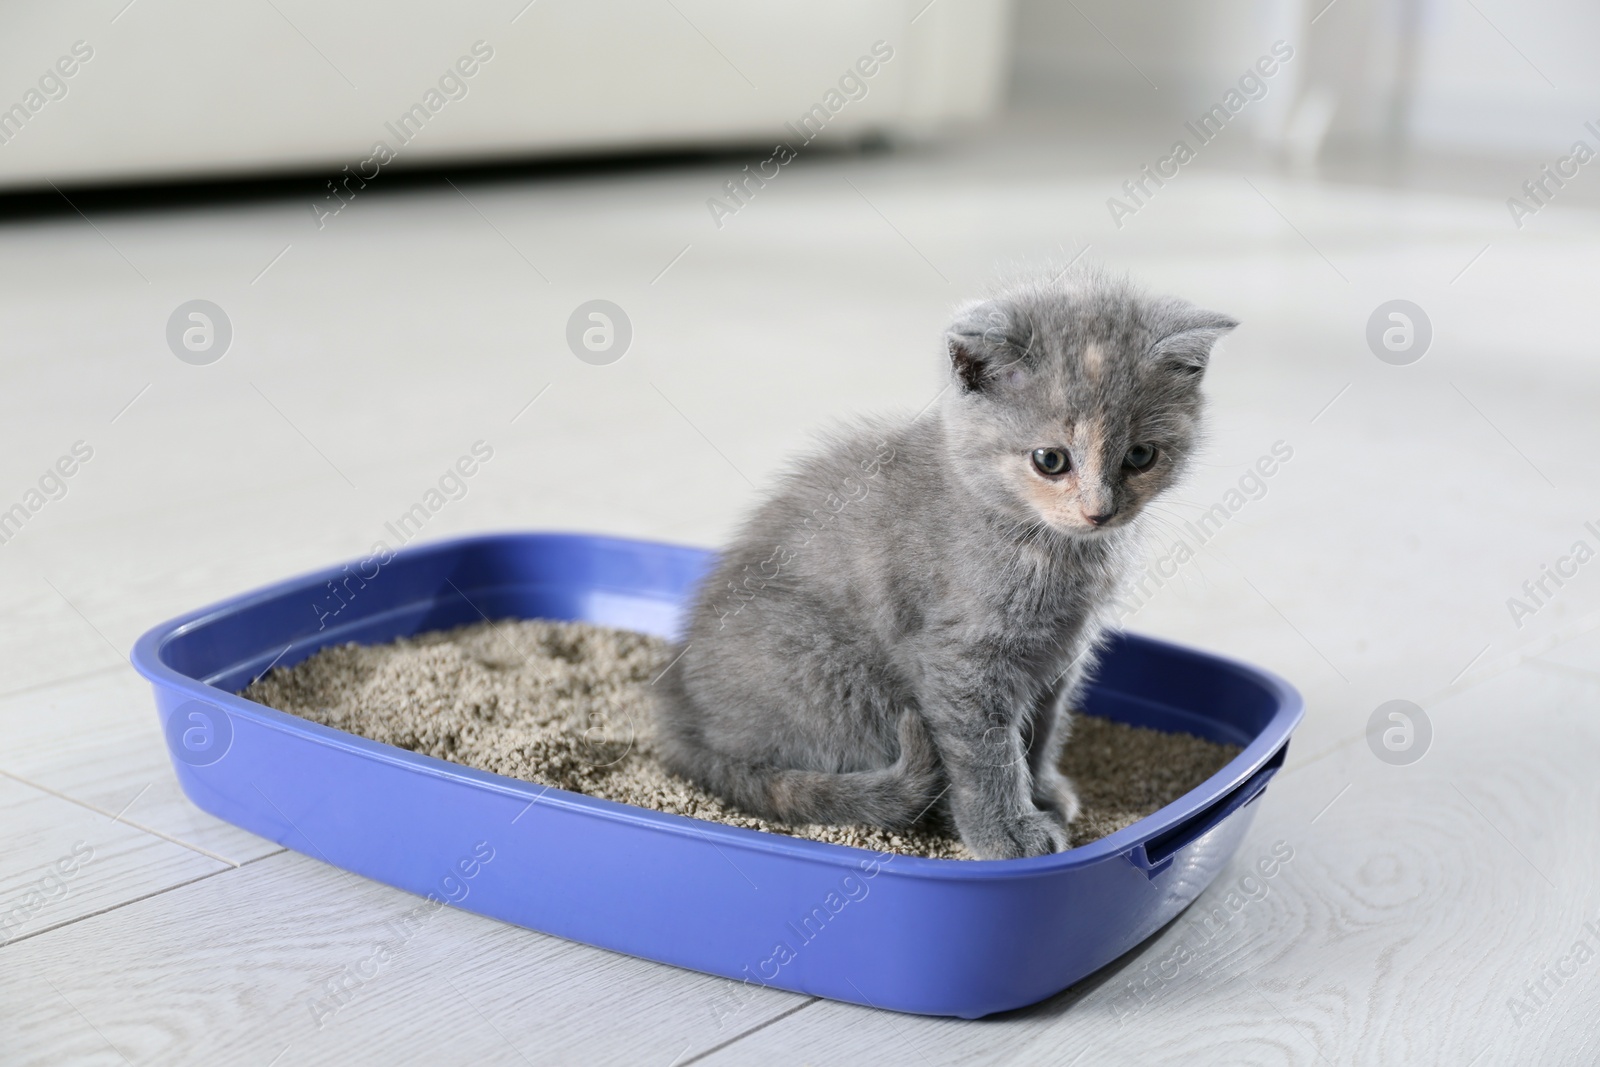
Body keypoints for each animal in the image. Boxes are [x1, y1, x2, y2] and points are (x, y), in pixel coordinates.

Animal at [652, 273, 1235, 857]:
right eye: (1050, 460)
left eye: (1141, 456)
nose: (1100, 511)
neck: (1047, 547)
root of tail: (680, 713)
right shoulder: (961, 658)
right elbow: (987, 754)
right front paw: (1008, 831)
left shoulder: (1062, 654)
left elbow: (1043, 729)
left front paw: (1043, 792)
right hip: (838, 675)